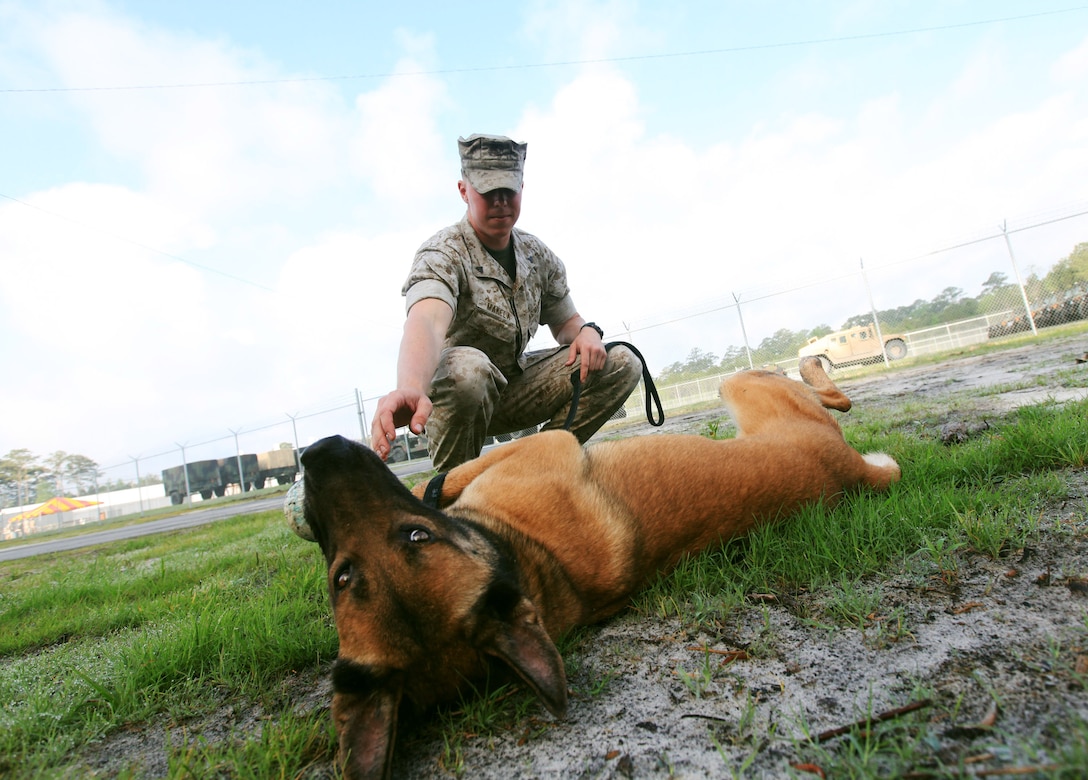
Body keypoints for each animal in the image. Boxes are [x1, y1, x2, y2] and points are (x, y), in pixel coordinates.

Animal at [291, 358, 900, 778]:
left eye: (416, 535)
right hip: (751, 391)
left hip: (747, 386)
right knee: (832, 397)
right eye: (341, 577)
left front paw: (431, 486)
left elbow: (444, 478)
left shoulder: (547, 443)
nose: (316, 454)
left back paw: (817, 362)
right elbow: (445, 480)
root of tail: (853, 475)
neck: (530, 562)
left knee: (831, 392)